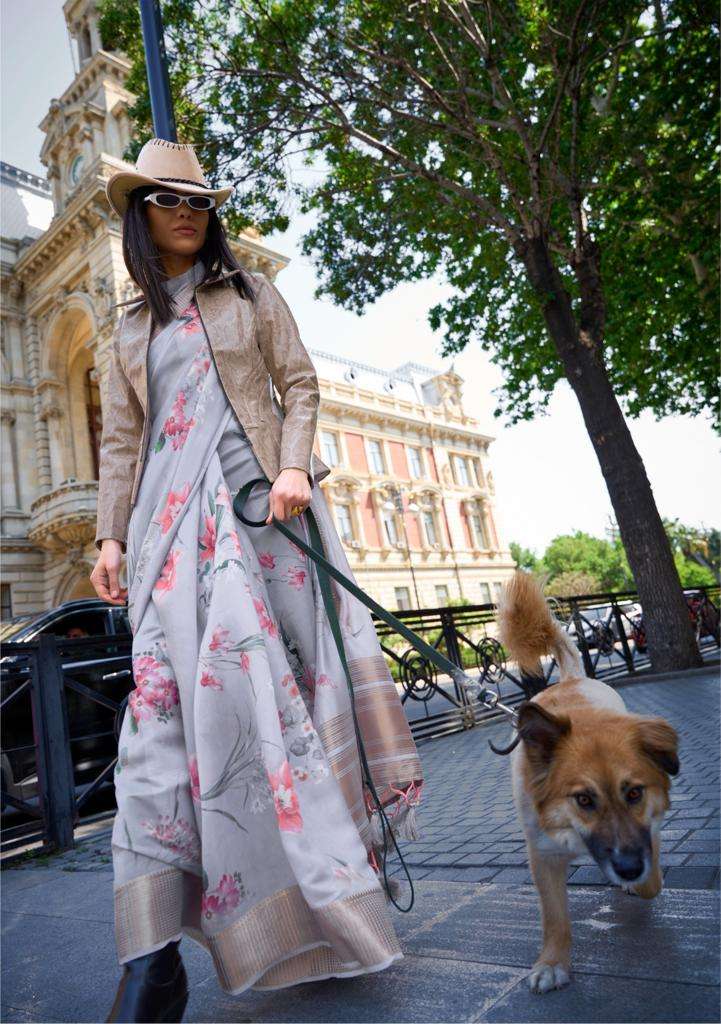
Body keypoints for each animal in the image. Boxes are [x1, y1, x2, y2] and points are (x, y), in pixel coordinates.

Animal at [497, 569, 680, 991]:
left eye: (634, 793)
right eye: (583, 800)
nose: (628, 868)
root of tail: (569, 679)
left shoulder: (649, 830)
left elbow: (652, 879)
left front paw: (638, 882)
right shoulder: (543, 854)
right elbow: (554, 918)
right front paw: (552, 962)